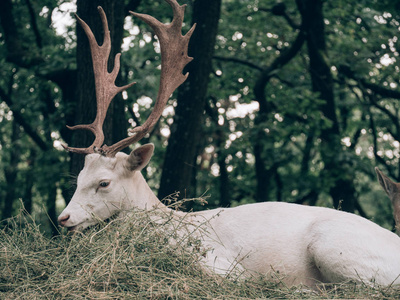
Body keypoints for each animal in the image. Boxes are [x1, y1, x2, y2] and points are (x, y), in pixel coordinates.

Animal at [57, 1, 400, 290]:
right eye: (78, 179)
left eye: (104, 183)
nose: (64, 218)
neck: (168, 225)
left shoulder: (220, 263)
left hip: (334, 248)